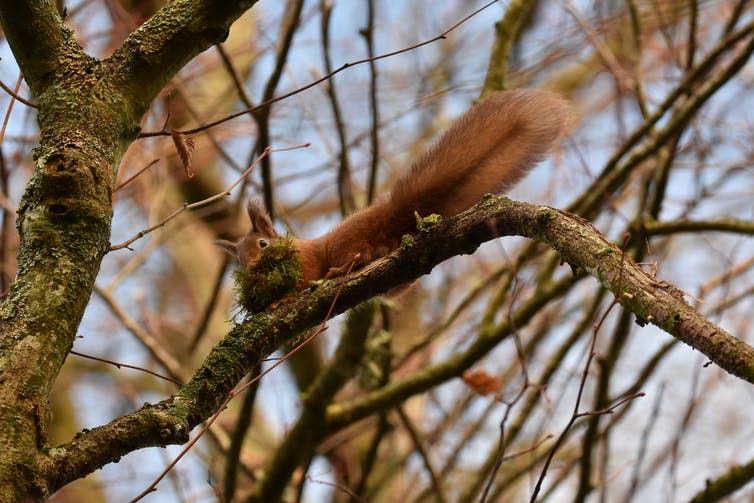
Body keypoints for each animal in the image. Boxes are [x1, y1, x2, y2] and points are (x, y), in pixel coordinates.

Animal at [220, 89, 568, 288]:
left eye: (263, 244)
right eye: (239, 261)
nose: (252, 269)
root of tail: (388, 216)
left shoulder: (305, 261)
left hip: (346, 242)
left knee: (357, 253)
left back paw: (341, 268)